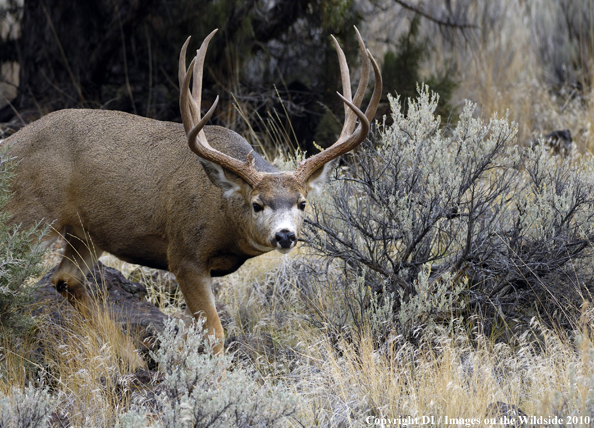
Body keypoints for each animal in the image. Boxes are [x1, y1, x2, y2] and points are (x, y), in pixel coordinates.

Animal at [1, 28, 380, 352]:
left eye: (302, 203)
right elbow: (214, 333)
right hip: (30, 216)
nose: (285, 235)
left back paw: (128, 355)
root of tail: (9, 144)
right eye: (257, 204)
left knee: (65, 278)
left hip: (87, 234)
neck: (224, 214)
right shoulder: (185, 254)